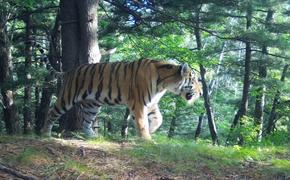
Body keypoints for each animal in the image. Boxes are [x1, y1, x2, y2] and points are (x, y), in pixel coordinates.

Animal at [40, 58, 203, 139]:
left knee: (86, 121)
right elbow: (141, 122)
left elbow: (159, 119)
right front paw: (146, 139)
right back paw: (45, 133)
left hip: (93, 105)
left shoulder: (151, 103)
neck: (164, 84)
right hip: (67, 97)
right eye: (194, 80)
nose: (201, 93)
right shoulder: (139, 103)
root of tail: (69, 71)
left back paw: (92, 136)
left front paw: (151, 130)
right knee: (51, 113)